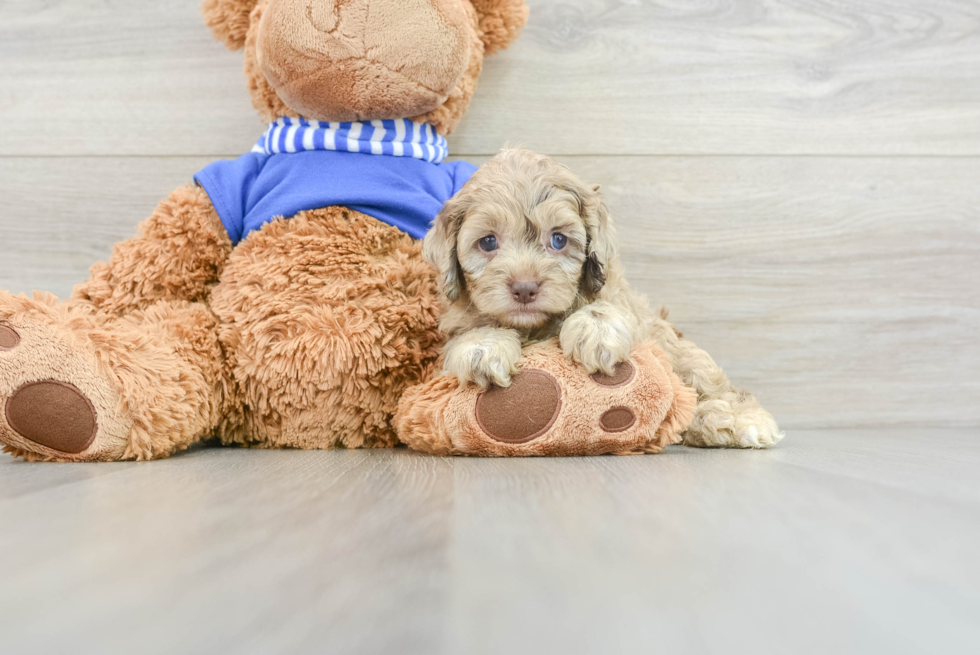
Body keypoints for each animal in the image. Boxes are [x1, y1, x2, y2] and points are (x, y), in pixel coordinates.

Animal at [424, 147, 784, 452]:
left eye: (558, 239)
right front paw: (483, 347)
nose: (525, 288)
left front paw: (595, 332)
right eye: (488, 242)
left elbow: (609, 310)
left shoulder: (625, 302)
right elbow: (469, 335)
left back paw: (736, 420)